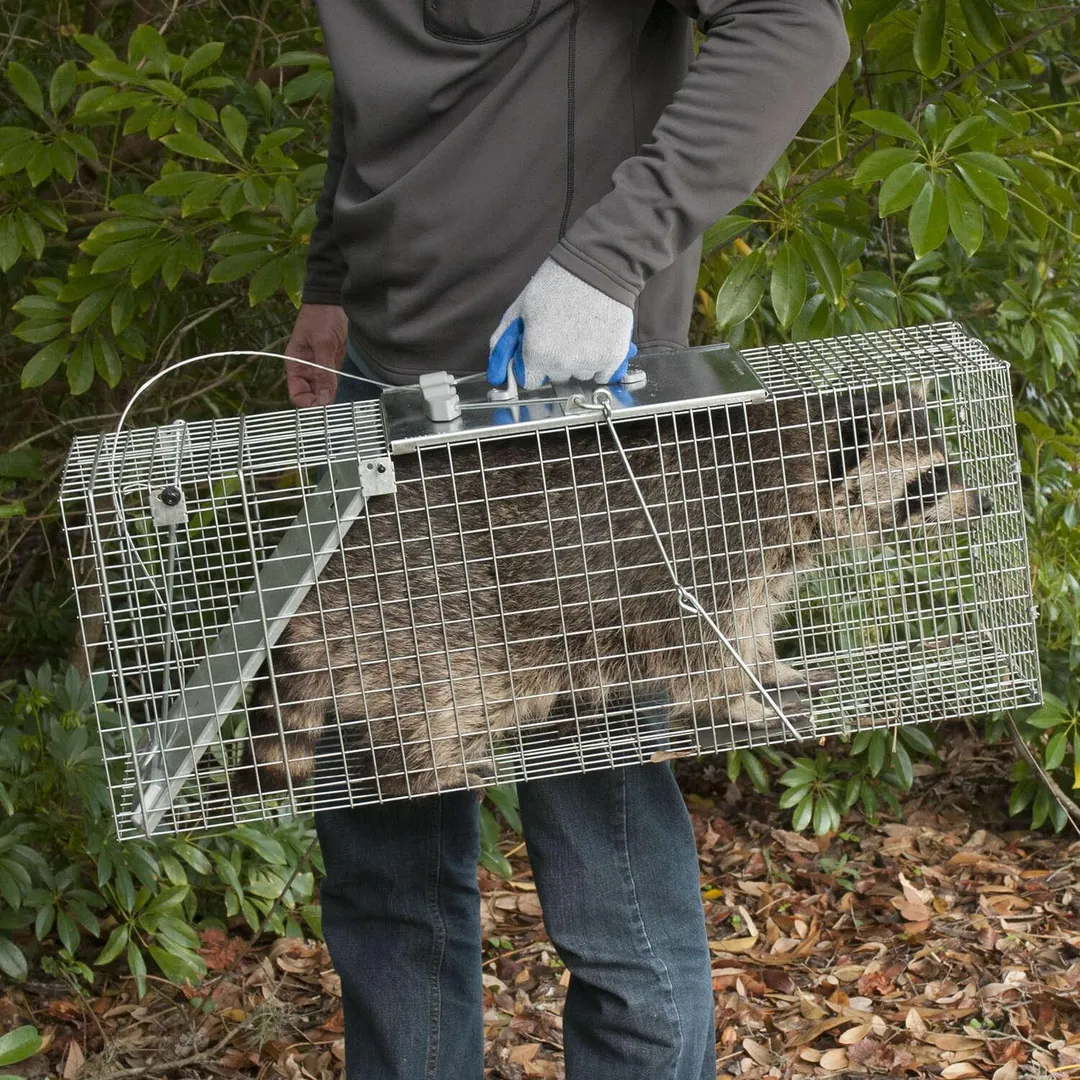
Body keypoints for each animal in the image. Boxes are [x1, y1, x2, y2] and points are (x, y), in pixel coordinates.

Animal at [234, 385, 989, 798]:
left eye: (948, 466)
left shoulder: (768, 562)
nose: (981, 503)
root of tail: (316, 588)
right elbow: (699, 647)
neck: (793, 473)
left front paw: (769, 668)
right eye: (933, 479)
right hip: (417, 613)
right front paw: (736, 699)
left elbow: (749, 627)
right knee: (439, 700)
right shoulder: (702, 549)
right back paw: (426, 768)